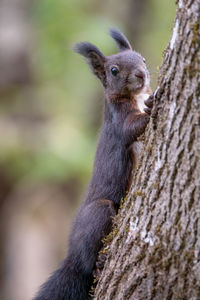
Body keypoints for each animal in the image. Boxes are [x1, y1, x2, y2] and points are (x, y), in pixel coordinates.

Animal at [34, 28, 153, 300]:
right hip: (99, 212)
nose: (142, 74)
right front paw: (153, 105)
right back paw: (97, 263)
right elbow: (132, 127)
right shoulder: (120, 123)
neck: (133, 98)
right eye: (114, 70)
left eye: (142, 58)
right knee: (88, 261)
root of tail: (71, 256)